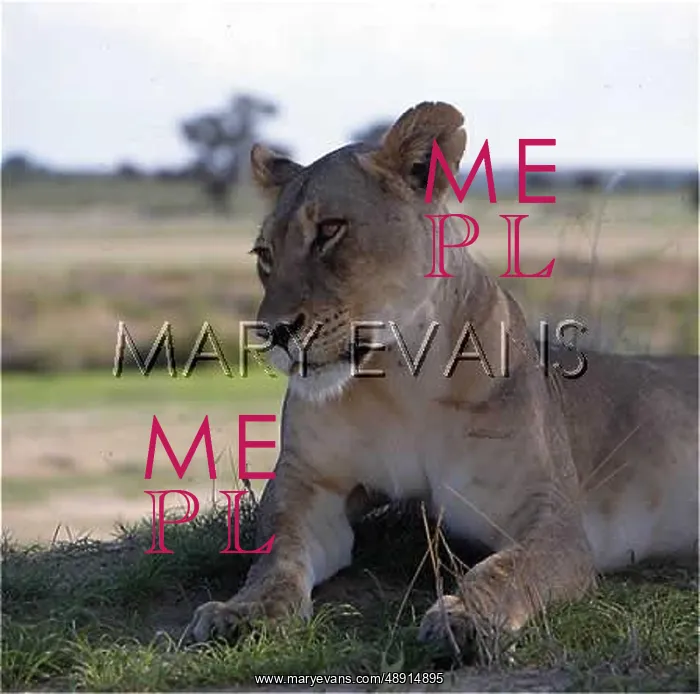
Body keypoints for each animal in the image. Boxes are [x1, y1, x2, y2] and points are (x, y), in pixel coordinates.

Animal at [186, 102, 699, 651]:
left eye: (329, 230)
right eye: (264, 255)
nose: (272, 332)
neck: (397, 377)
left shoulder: (551, 517)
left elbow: (506, 570)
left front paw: (465, 619)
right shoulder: (310, 484)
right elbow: (278, 558)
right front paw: (242, 612)